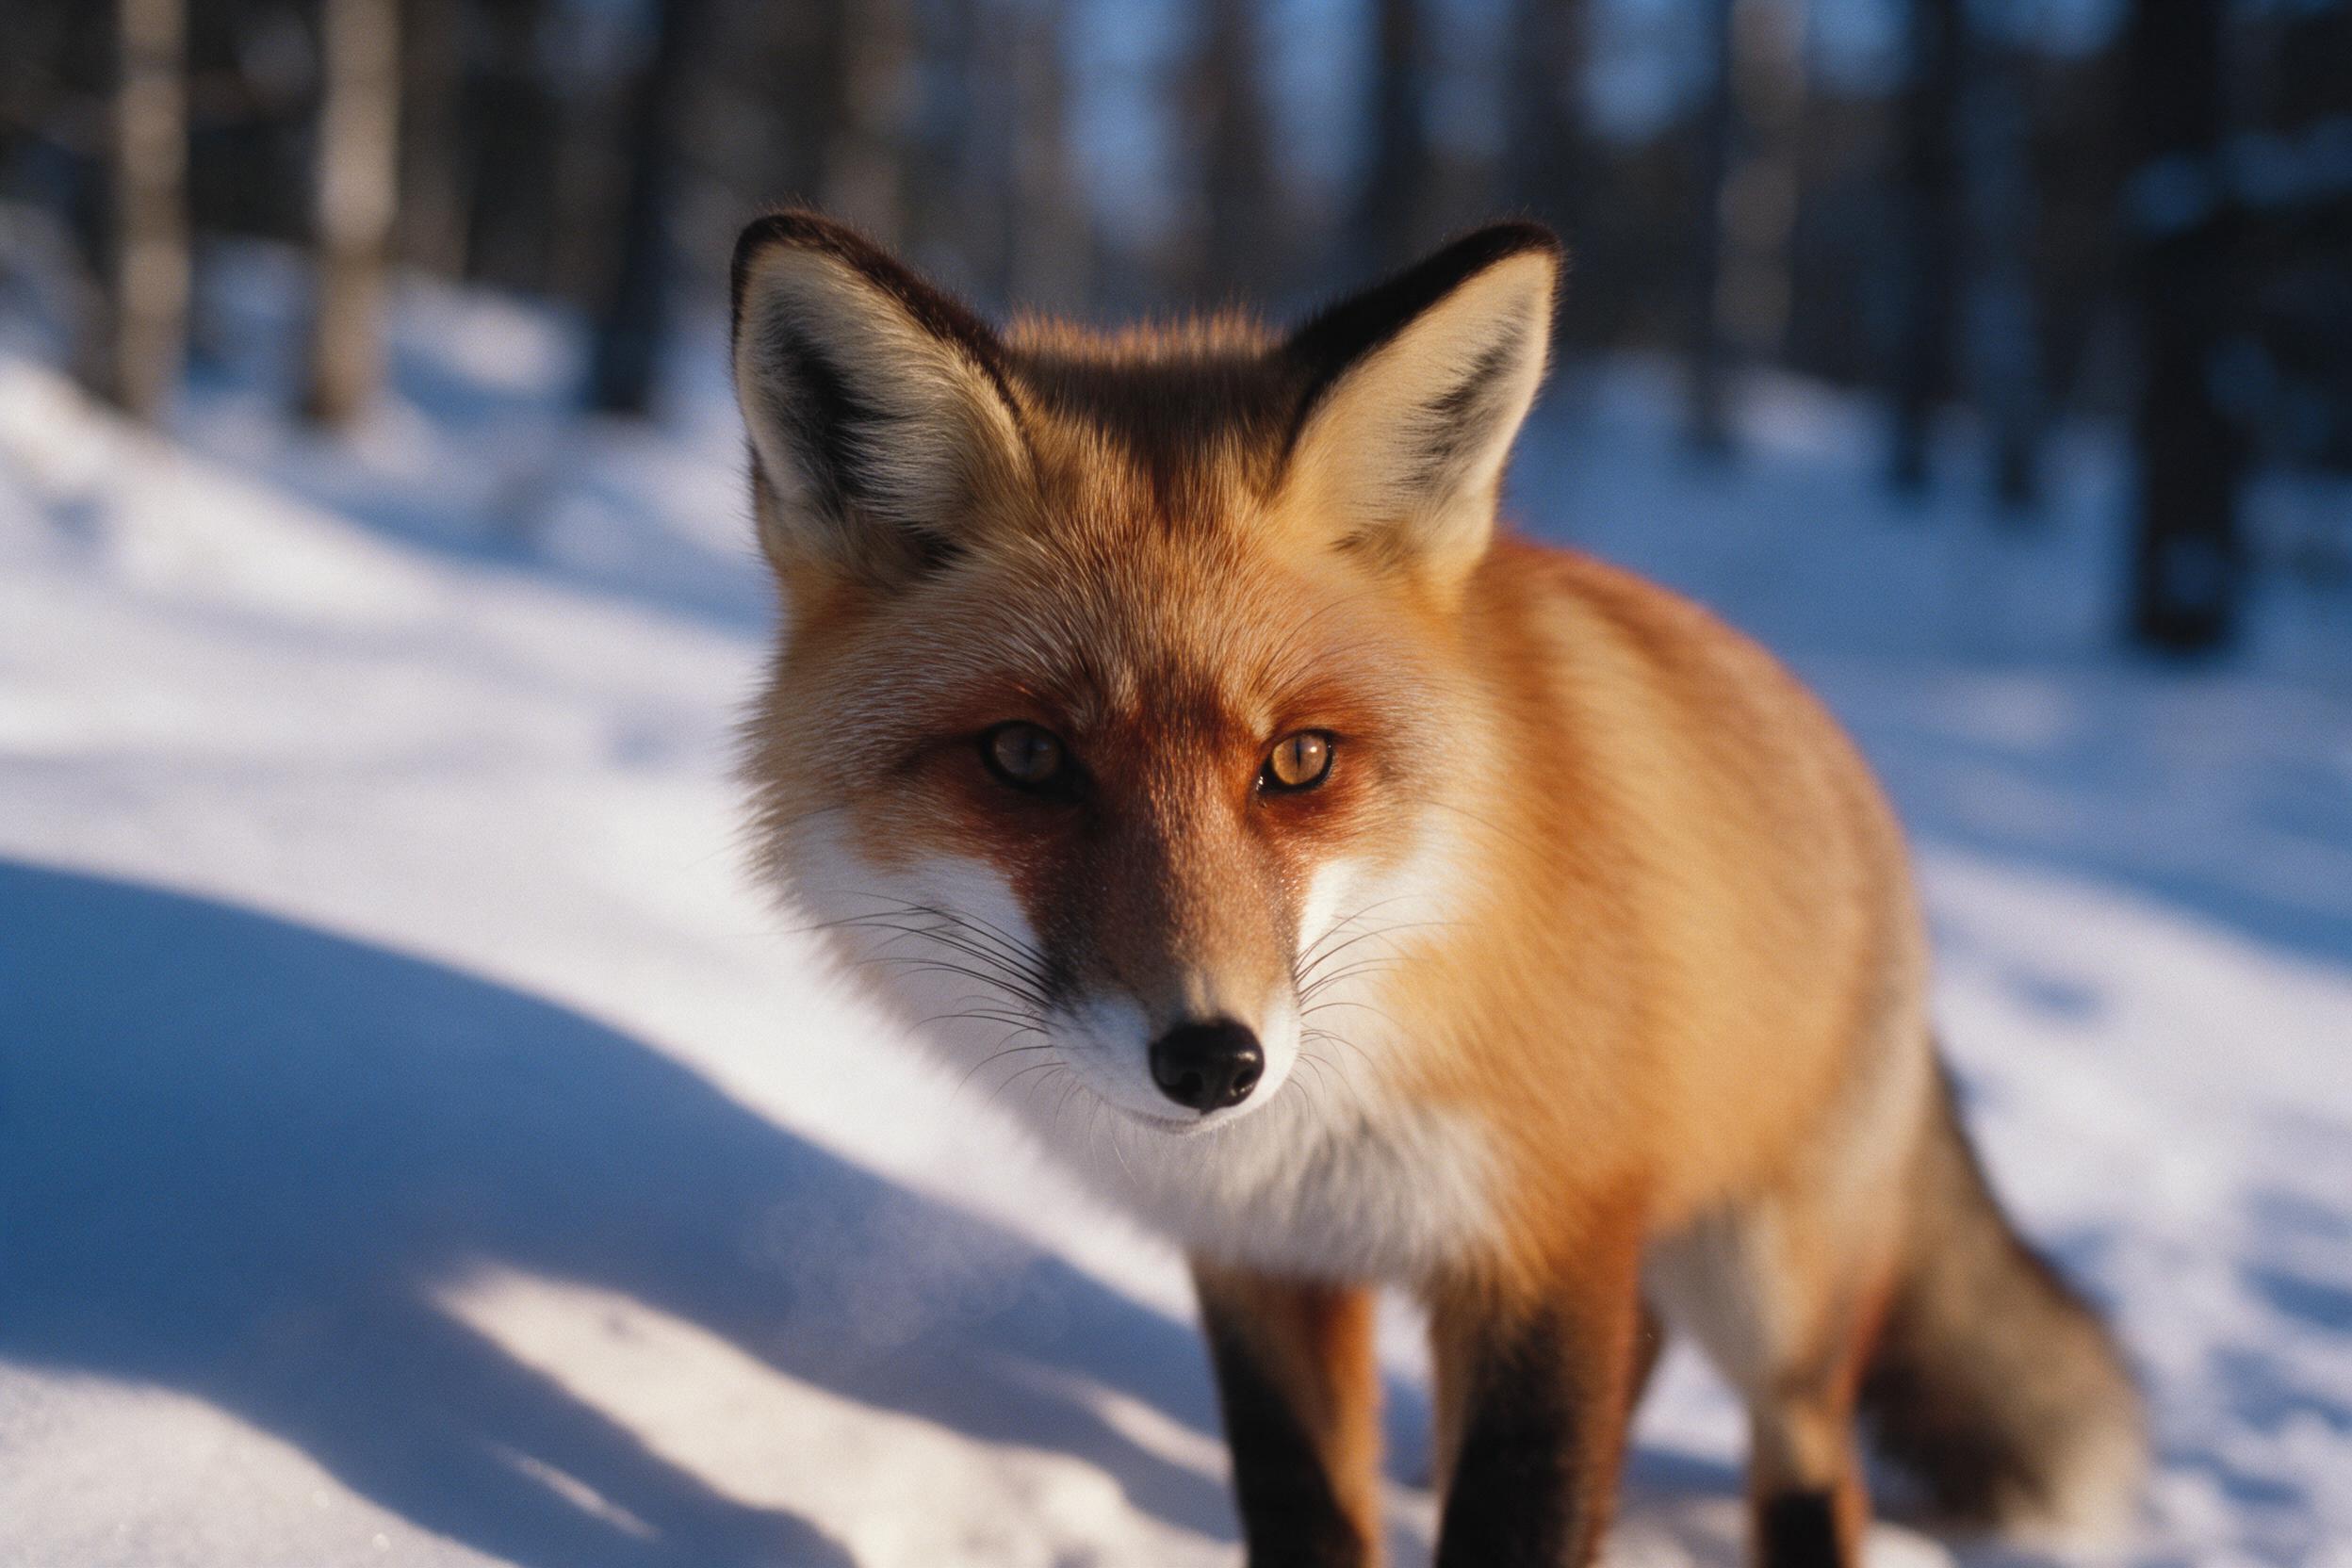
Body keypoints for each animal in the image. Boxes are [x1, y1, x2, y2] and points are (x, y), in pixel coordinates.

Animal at [729, 209, 2146, 1566]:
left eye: (1300, 761)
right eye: (1027, 757)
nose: (1213, 1062)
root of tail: (1853, 774)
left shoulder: (1548, 1243)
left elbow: (1525, 1514)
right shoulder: (1267, 1263)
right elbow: (1306, 1514)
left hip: (1767, 1284)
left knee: (1812, 1465)